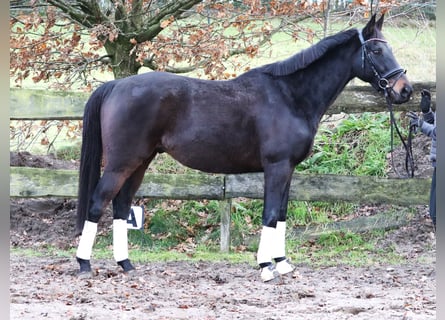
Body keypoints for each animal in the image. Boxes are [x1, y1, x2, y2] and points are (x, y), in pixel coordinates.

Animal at [76, 13, 412, 282]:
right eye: (377, 50)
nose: (405, 90)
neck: (289, 96)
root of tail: (116, 86)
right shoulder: (276, 167)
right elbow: (270, 214)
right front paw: (265, 267)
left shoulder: (288, 170)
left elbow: (281, 215)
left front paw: (283, 263)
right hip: (121, 162)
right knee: (98, 202)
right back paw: (84, 264)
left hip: (141, 161)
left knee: (121, 205)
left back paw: (126, 264)